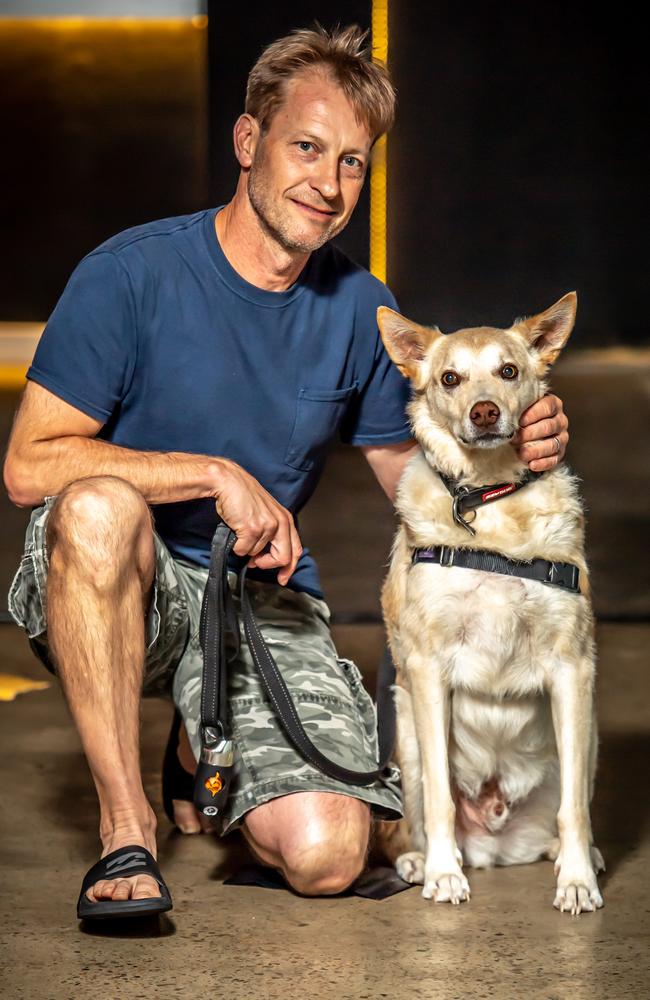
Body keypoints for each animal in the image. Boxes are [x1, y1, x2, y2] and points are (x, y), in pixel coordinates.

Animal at [374, 292, 604, 916]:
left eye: (508, 371)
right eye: (449, 378)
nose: (482, 413)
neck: (490, 498)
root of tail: (498, 843)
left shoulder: (572, 671)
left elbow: (574, 809)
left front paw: (578, 880)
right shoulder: (427, 671)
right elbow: (441, 800)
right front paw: (443, 874)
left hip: (589, 731)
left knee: (569, 806)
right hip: (405, 732)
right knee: (418, 811)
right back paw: (418, 858)